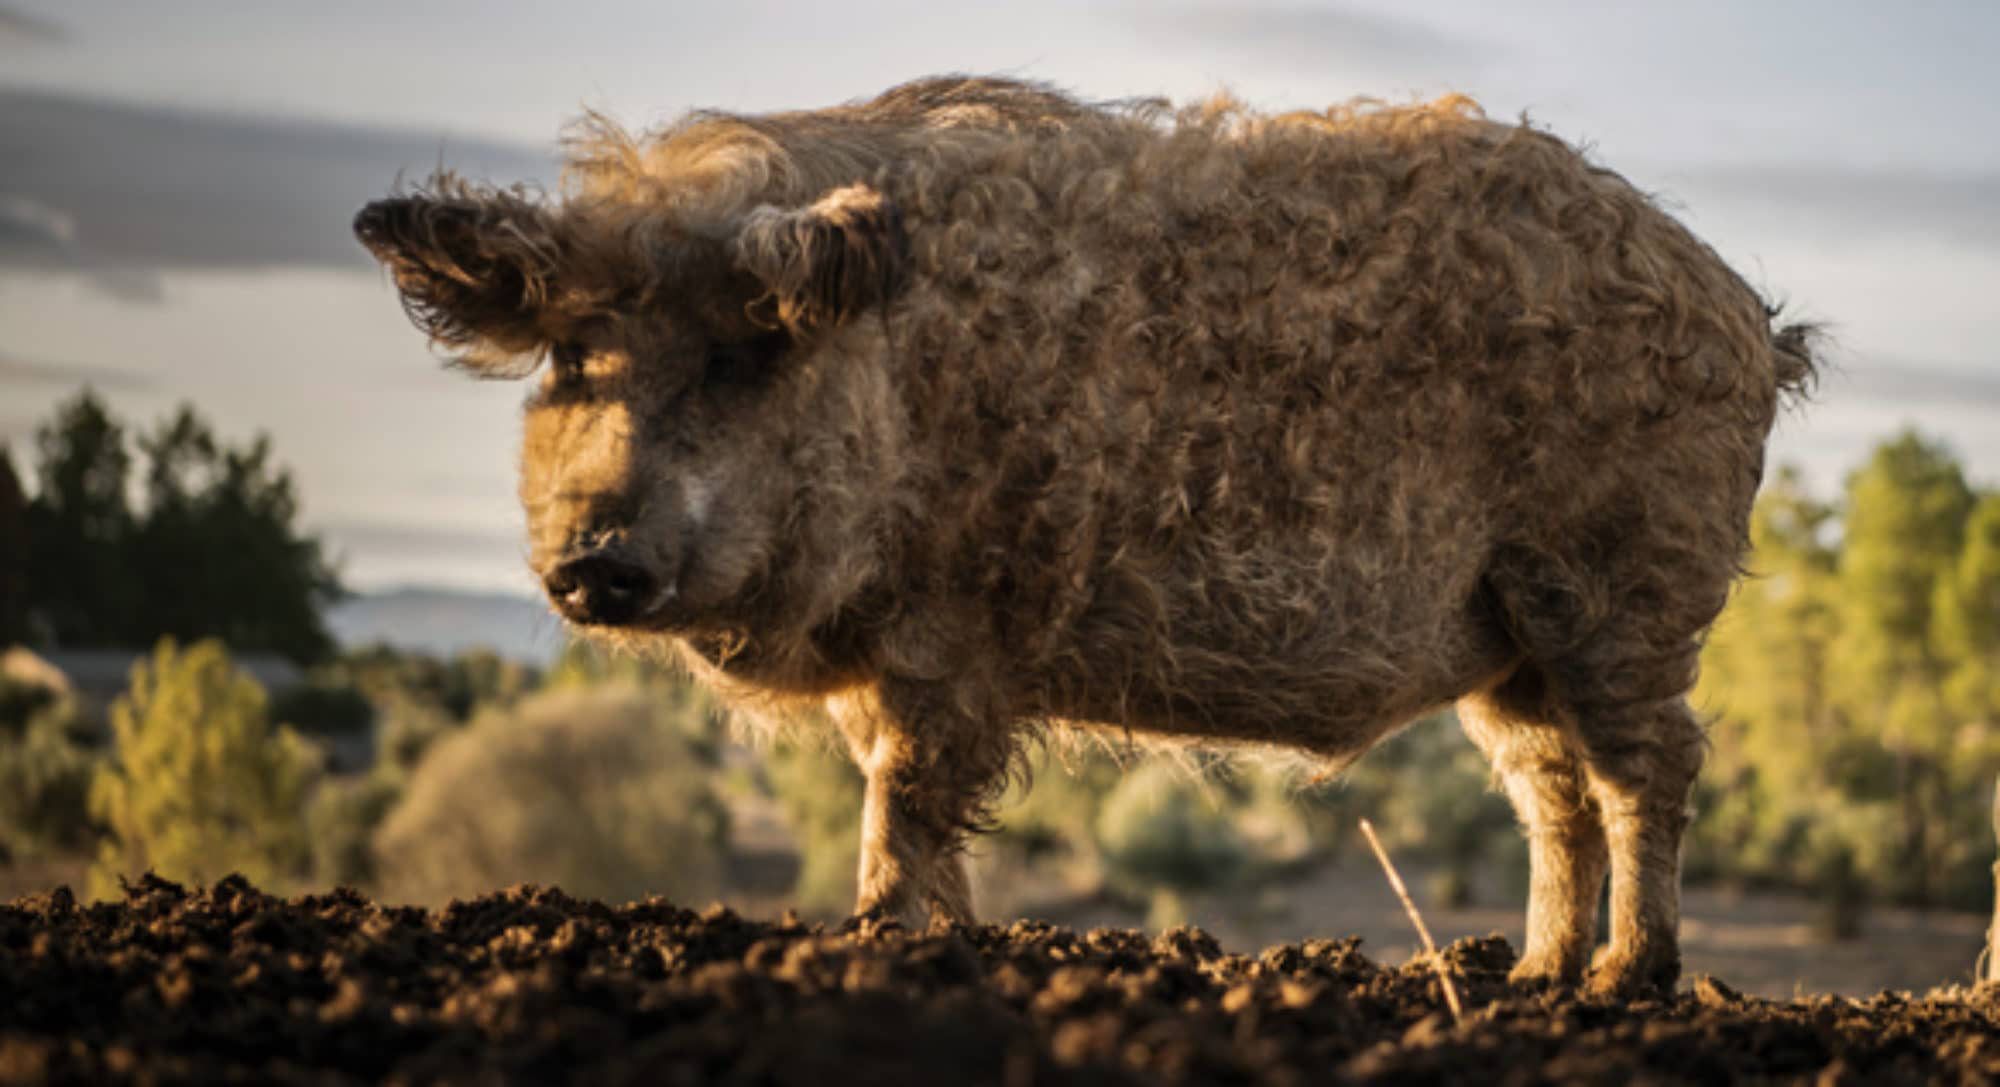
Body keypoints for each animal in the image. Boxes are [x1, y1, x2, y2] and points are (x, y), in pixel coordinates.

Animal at [356, 74, 1816, 995]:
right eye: (571, 356)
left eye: (736, 355)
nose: (594, 559)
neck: (901, 390)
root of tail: (1749, 319)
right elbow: (909, 799)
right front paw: (938, 945)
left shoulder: (954, 628)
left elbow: (909, 797)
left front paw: (872, 945)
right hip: (1508, 634)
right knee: (1550, 785)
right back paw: (1529, 978)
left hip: (1619, 583)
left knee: (1647, 766)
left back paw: (1627, 980)